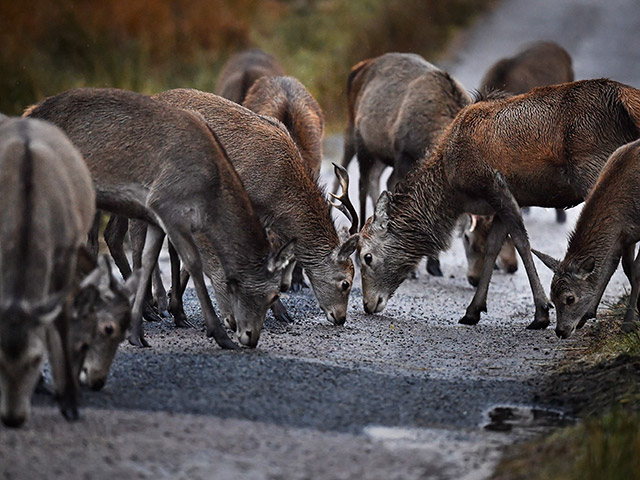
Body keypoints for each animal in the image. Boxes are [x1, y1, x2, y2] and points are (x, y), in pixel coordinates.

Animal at [25, 87, 296, 348]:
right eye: (274, 294)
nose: (250, 337)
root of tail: (30, 113)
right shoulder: (168, 206)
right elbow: (193, 262)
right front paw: (219, 334)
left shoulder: (156, 218)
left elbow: (147, 262)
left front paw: (137, 333)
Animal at [532, 140, 640, 338]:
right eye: (552, 299)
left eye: (570, 298)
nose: (560, 331)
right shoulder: (625, 236)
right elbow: (617, 266)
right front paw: (588, 314)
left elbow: (635, 269)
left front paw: (628, 324)